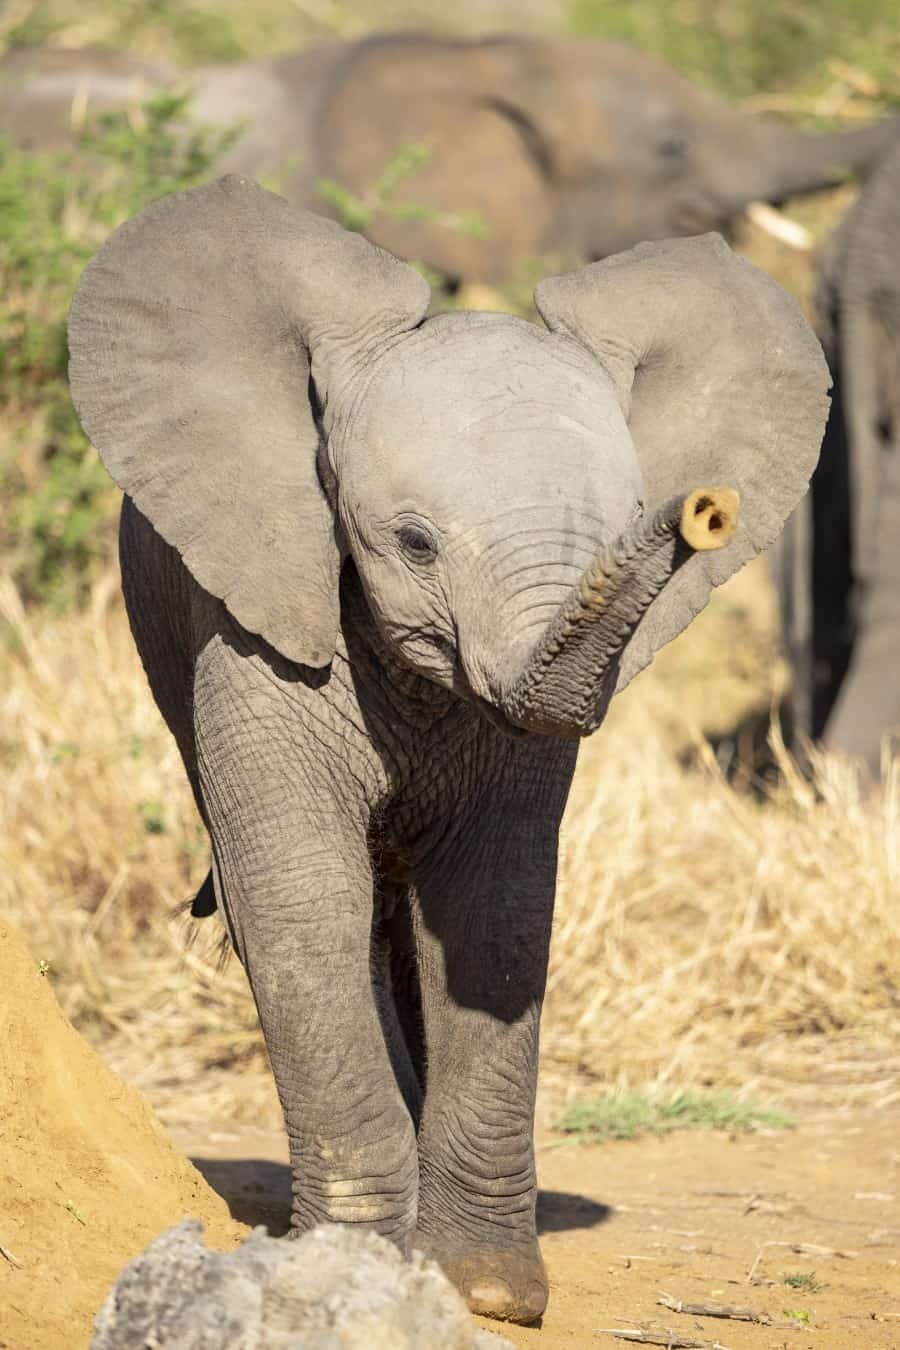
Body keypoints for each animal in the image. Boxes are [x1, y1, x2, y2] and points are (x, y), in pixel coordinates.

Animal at [68, 174, 831, 1323]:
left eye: (620, 522)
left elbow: (495, 904)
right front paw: (351, 1265)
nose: (704, 508)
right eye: (414, 544)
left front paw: (485, 1293)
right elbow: (300, 893)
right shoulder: (255, 614)